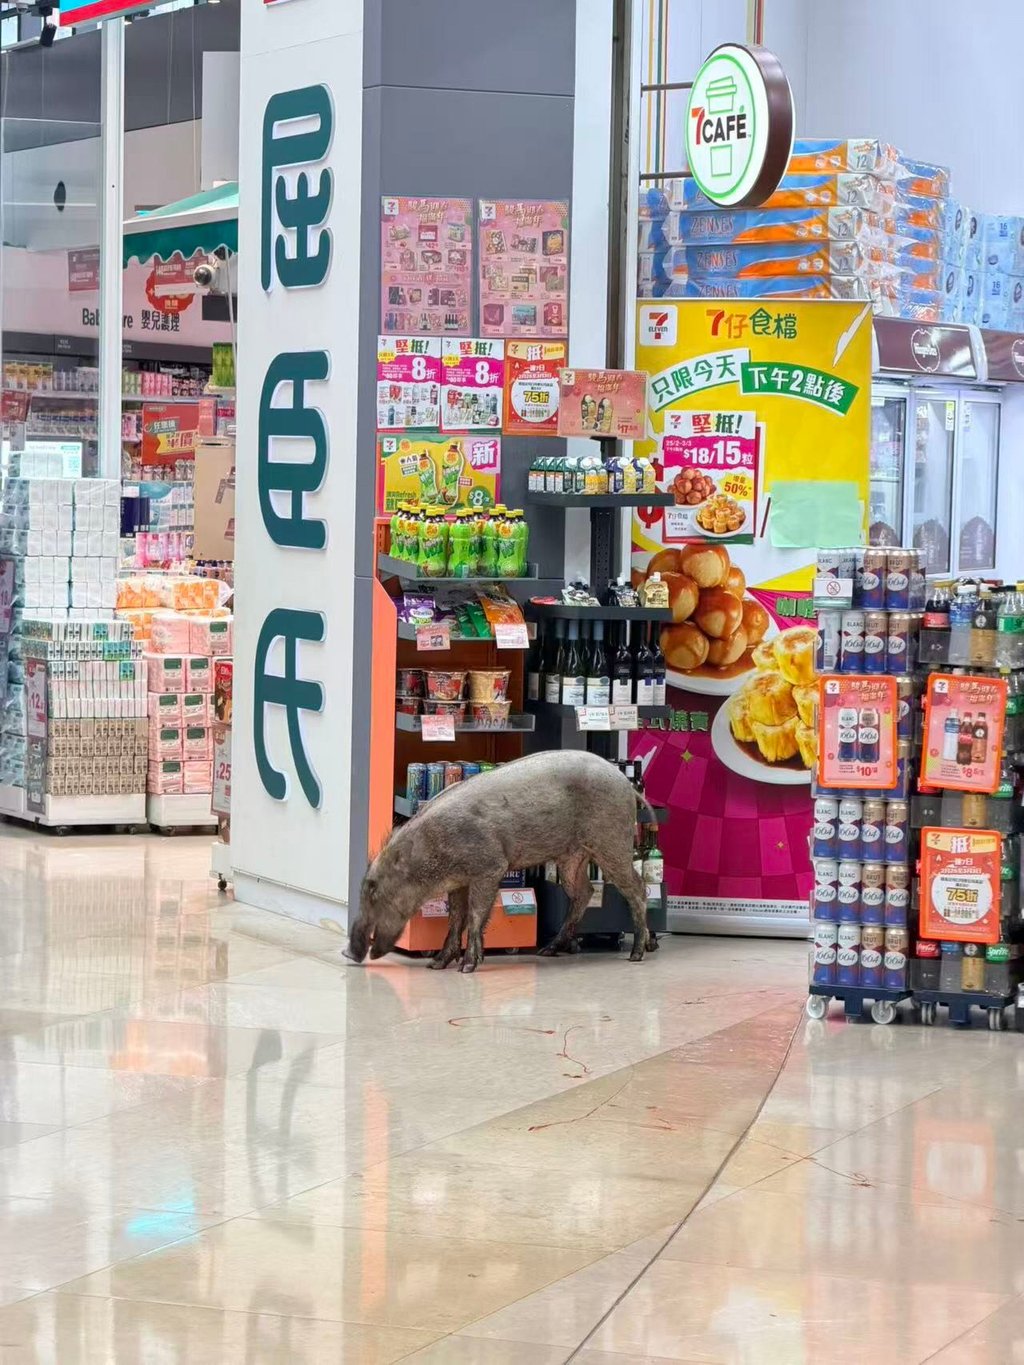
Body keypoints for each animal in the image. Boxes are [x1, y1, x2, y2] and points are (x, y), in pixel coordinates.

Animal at [345, 749, 659, 972]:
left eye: (373, 889)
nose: (346, 952)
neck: (434, 848)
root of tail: (626, 785)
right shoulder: (458, 882)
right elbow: (454, 918)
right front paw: (435, 964)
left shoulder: (489, 868)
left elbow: (475, 915)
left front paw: (467, 967)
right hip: (572, 856)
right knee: (584, 892)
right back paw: (548, 951)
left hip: (611, 843)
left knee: (637, 888)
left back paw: (637, 954)